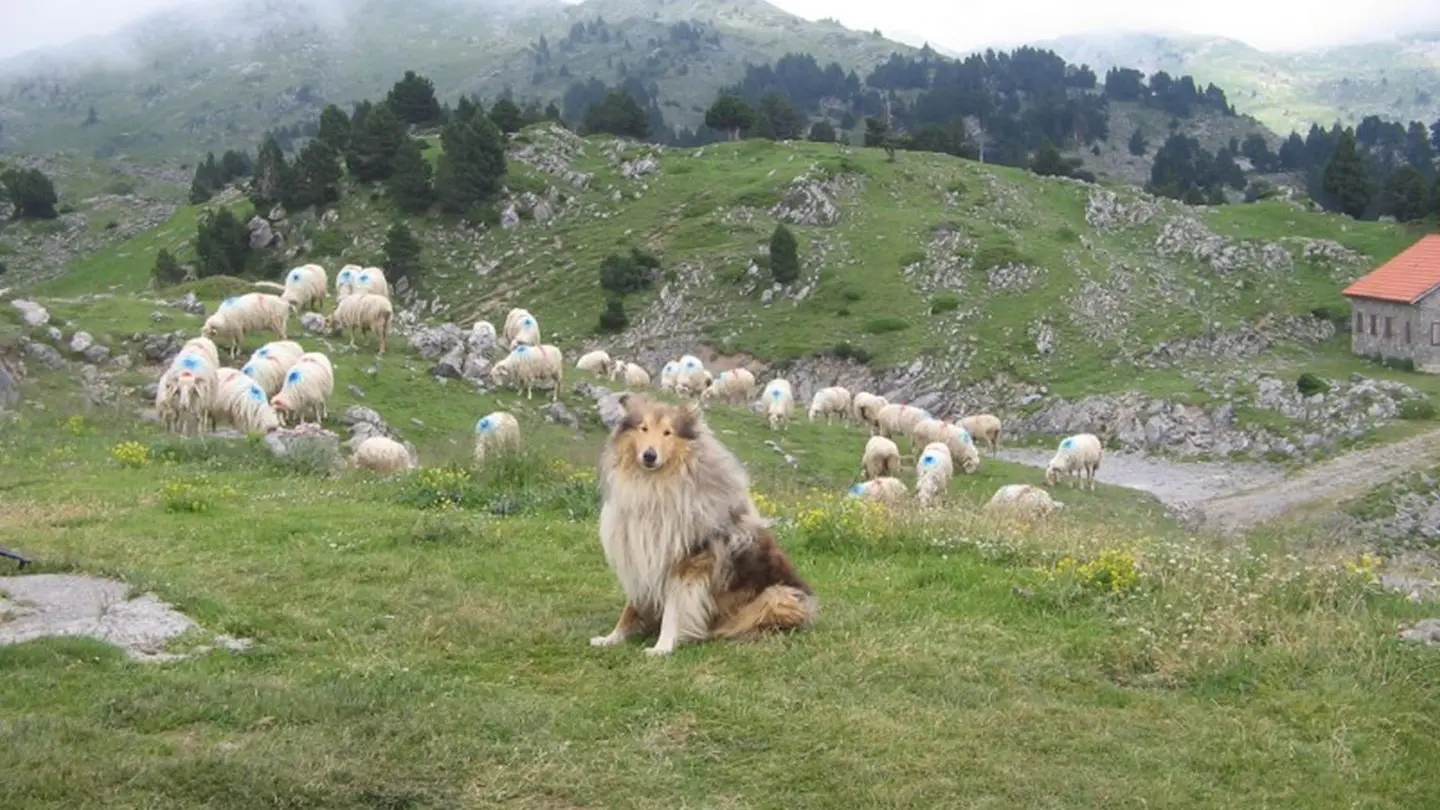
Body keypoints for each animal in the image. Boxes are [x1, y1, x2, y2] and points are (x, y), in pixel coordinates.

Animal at [590, 394, 817, 651]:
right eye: (643, 428)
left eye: (668, 432)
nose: (649, 455)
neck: (655, 488)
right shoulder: (644, 559)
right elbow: (630, 607)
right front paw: (611, 638)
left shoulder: (688, 563)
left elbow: (674, 611)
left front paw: (662, 648)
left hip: (778, 595)